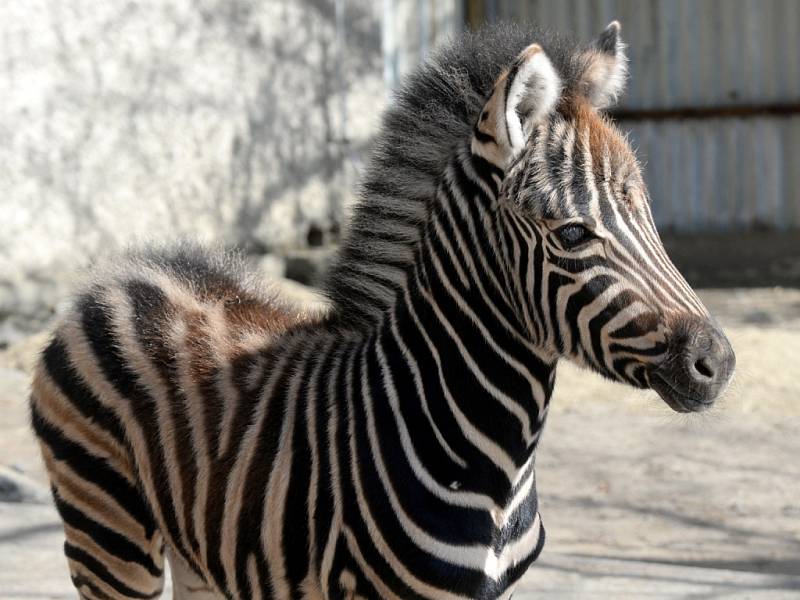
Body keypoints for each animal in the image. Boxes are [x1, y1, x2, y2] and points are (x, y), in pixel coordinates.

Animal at [29, 21, 732, 600]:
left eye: (649, 217)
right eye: (573, 235)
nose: (718, 363)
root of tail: (118, 272)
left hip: (196, 549)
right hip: (108, 532)